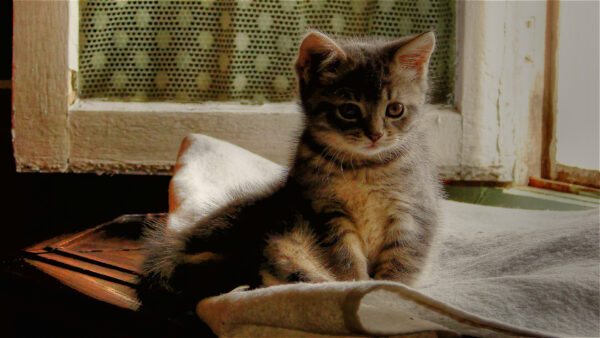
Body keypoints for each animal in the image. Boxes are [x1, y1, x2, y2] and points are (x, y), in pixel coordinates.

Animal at [138, 30, 442, 312]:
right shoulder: (324, 209)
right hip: (276, 240)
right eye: (348, 111)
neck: (364, 167)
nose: (375, 135)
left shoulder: (414, 208)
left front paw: (391, 291)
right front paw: (359, 285)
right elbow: (345, 256)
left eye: (395, 109)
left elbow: (404, 258)